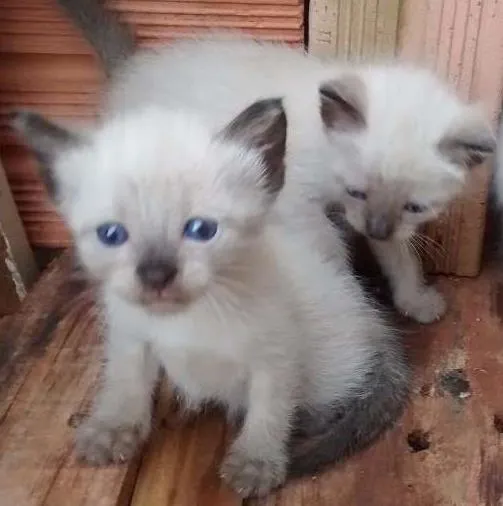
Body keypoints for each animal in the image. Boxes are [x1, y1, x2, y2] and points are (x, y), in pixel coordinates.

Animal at [11, 100, 412, 498]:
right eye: (111, 234)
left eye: (201, 230)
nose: (156, 276)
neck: (187, 317)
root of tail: (374, 323)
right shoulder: (130, 335)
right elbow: (125, 381)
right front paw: (111, 429)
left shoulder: (276, 354)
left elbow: (269, 408)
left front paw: (256, 463)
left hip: (329, 364)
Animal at [54, 0, 496, 324]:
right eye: (356, 190)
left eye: (415, 207)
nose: (376, 228)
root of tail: (128, 68)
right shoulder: (299, 202)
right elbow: (328, 244)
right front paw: (342, 289)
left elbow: (400, 256)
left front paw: (415, 300)